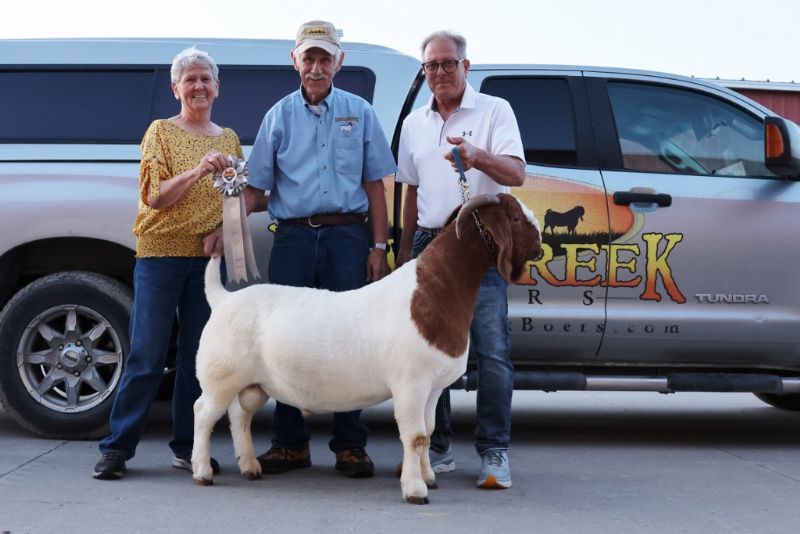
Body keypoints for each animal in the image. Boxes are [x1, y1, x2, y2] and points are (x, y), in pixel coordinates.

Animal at [191, 193, 542, 504]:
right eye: (514, 217)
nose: (539, 243)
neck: (432, 292)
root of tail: (222, 298)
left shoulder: (433, 388)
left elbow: (428, 432)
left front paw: (428, 477)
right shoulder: (411, 385)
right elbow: (414, 436)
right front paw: (416, 490)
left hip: (254, 383)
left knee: (240, 415)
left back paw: (250, 467)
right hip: (220, 376)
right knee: (204, 413)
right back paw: (202, 471)